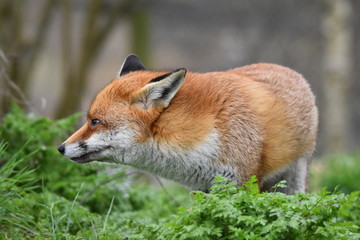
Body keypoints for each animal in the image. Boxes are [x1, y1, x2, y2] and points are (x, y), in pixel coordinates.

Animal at [57, 54, 318, 193]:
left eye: (95, 121)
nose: (60, 148)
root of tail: (287, 69)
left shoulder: (240, 182)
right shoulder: (202, 188)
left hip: (294, 179)